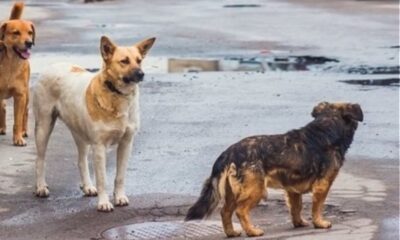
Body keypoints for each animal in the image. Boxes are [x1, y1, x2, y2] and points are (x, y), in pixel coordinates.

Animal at [33, 35, 155, 212]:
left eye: (139, 60)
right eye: (124, 61)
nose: (141, 74)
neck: (117, 95)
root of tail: (53, 65)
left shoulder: (126, 143)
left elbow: (120, 176)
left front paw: (119, 197)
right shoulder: (99, 147)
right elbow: (102, 179)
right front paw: (104, 203)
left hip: (80, 134)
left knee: (81, 160)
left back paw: (87, 186)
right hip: (44, 126)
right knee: (40, 159)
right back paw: (41, 187)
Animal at [186, 101, 364, 238]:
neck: (327, 127)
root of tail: (229, 152)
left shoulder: (293, 189)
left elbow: (296, 207)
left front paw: (299, 223)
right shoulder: (323, 185)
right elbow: (317, 207)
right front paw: (319, 223)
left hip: (232, 192)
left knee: (225, 212)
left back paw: (231, 233)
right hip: (256, 190)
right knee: (240, 211)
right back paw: (252, 231)